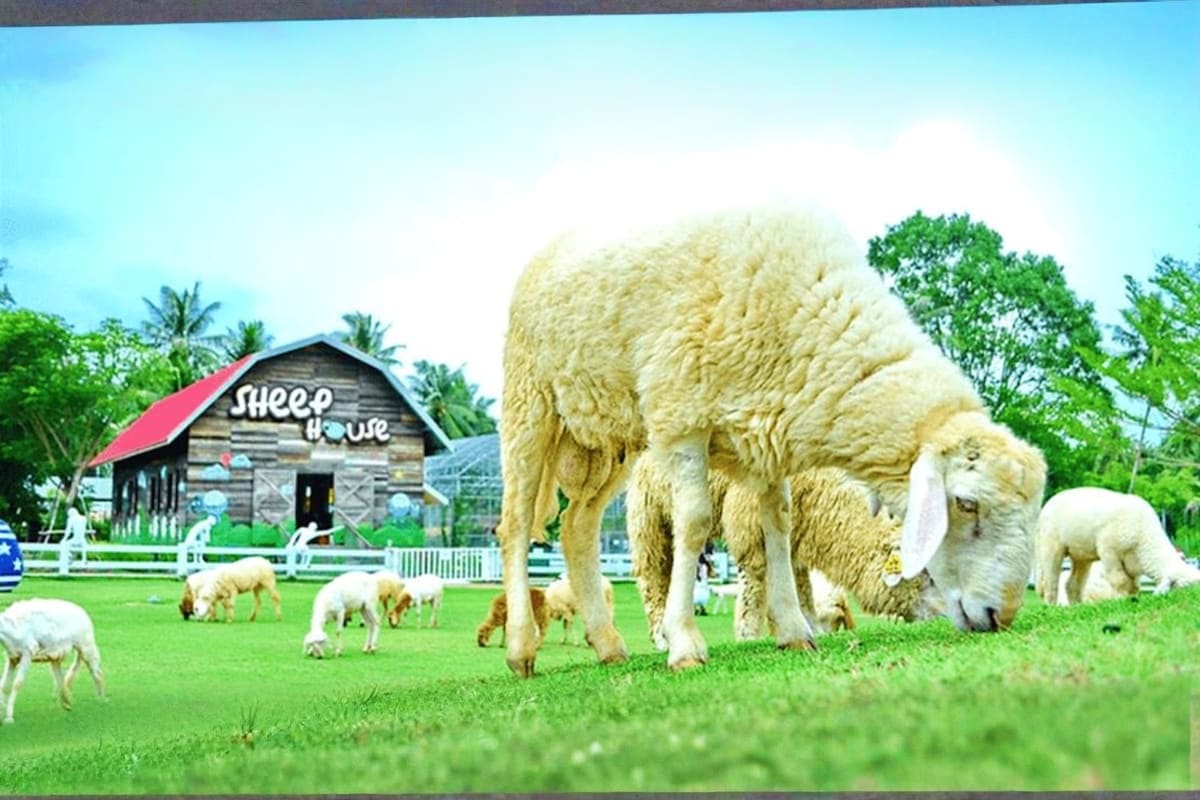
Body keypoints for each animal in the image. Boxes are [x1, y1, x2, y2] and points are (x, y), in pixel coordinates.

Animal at [629, 461, 943, 649]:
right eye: (926, 575)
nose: (941, 619)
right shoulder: (748, 522)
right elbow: (753, 589)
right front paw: (747, 638)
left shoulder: (793, 533)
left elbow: (800, 587)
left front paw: (809, 627)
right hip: (648, 512)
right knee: (650, 576)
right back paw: (661, 639)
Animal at [1035, 486, 1200, 605]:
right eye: (1183, 587)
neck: (1144, 535)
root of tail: (1047, 504)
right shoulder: (1109, 551)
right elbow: (1120, 581)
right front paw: (1120, 600)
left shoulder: (1133, 561)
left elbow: (1134, 585)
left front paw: (1132, 599)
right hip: (1050, 544)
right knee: (1050, 580)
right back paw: (1051, 606)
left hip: (1081, 554)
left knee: (1072, 584)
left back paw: (1077, 606)